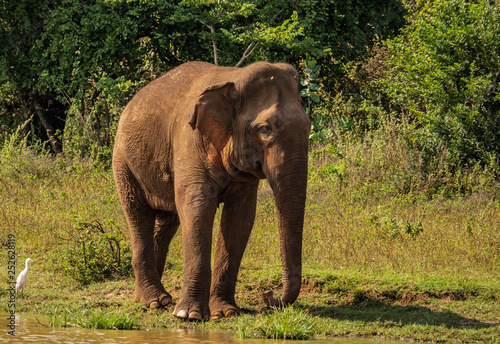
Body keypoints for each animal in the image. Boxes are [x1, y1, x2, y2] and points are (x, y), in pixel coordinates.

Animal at [111, 60, 310, 322]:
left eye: (308, 127)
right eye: (265, 130)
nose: (268, 295)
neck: (234, 78)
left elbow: (240, 218)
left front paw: (226, 312)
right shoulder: (190, 142)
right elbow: (197, 208)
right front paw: (189, 315)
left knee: (167, 221)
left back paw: (150, 299)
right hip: (123, 163)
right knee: (138, 214)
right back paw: (155, 301)